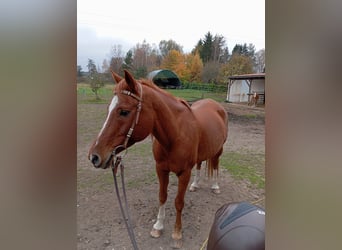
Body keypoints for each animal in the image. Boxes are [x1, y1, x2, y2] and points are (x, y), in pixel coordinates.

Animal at [88, 69, 228, 247]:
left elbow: (178, 202)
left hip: (219, 150)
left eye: (124, 112)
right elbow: (162, 197)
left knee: (215, 165)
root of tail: (215, 105)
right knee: (199, 164)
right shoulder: (161, 169)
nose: (94, 156)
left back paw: (215, 186)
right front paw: (158, 226)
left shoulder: (184, 173)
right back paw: (195, 185)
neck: (176, 135)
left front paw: (177, 233)